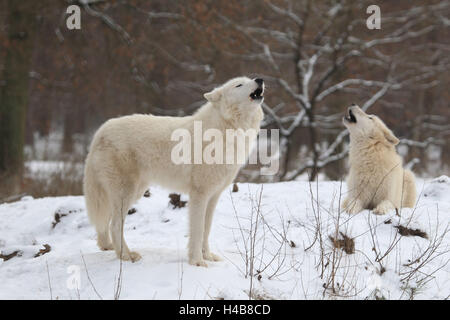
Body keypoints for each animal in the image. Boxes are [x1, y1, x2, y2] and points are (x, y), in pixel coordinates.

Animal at [84, 76, 264, 266]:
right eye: (239, 84)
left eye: (250, 79)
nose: (260, 79)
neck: (226, 129)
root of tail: (100, 132)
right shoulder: (199, 194)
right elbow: (198, 230)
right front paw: (197, 262)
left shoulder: (213, 195)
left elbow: (206, 229)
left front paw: (208, 256)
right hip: (126, 192)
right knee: (115, 224)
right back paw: (127, 256)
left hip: (132, 192)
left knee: (107, 222)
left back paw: (108, 246)